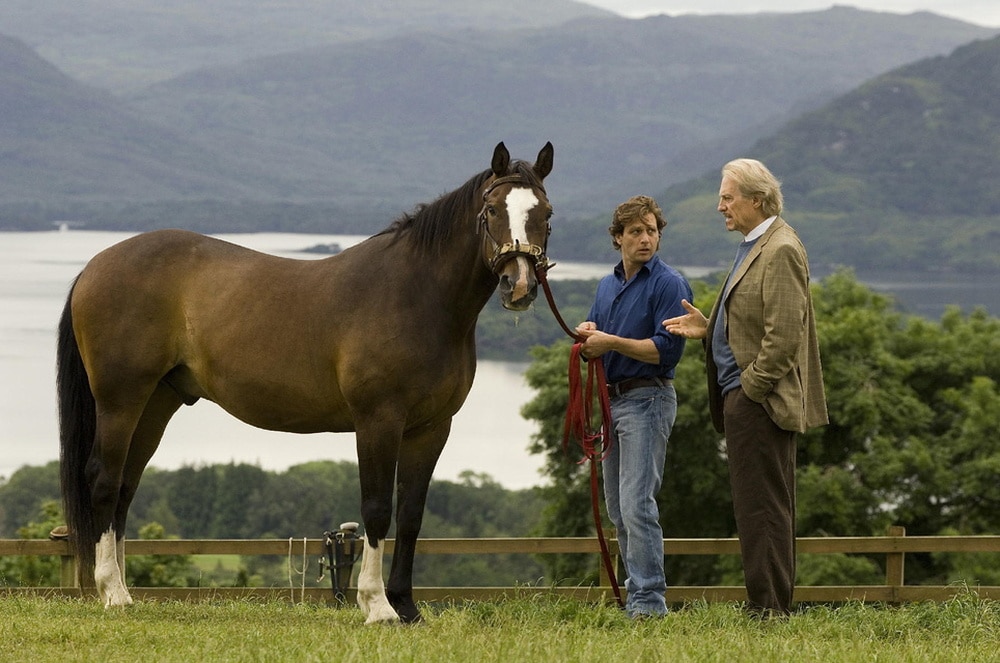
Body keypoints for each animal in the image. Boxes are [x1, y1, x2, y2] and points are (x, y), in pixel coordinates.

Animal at [59, 140, 556, 624]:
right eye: (491, 209)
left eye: (546, 213)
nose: (519, 285)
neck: (416, 297)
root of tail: (94, 265)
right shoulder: (378, 421)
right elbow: (378, 509)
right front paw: (376, 606)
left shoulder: (432, 428)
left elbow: (411, 515)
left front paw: (407, 606)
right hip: (121, 399)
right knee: (104, 479)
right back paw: (112, 593)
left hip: (156, 402)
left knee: (125, 487)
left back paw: (125, 590)